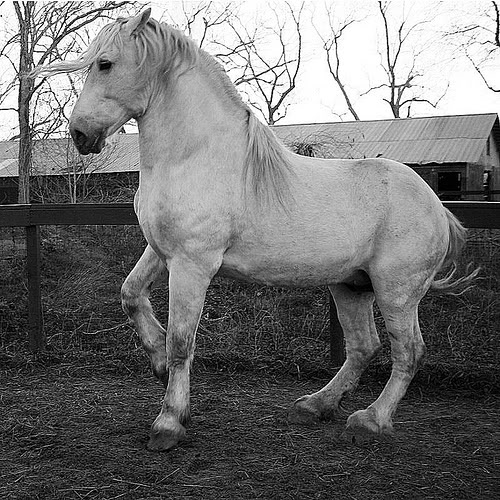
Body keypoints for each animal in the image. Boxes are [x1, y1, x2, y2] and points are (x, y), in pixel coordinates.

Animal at [35, 9, 476, 452]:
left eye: (105, 63)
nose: (80, 135)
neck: (194, 157)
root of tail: (438, 209)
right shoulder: (161, 252)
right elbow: (130, 295)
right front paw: (158, 363)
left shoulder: (193, 264)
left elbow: (182, 341)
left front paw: (170, 421)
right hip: (351, 286)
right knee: (362, 347)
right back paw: (314, 406)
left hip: (396, 292)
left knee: (408, 353)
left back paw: (370, 421)